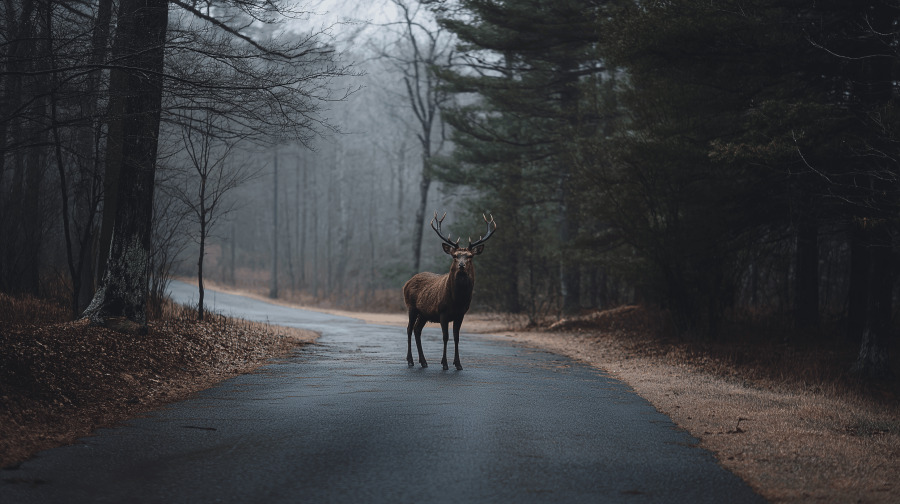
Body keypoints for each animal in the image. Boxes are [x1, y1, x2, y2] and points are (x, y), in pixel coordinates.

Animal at [403, 211, 496, 370]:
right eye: (455, 256)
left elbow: (457, 337)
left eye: (470, 256)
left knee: (417, 330)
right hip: (411, 306)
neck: (457, 300)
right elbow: (445, 337)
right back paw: (410, 360)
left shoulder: (461, 314)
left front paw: (458, 364)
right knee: (409, 329)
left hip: (424, 313)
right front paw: (445, 363)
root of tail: (407, 283)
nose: (461, 265)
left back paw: (424, 361)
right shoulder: (442, 312)